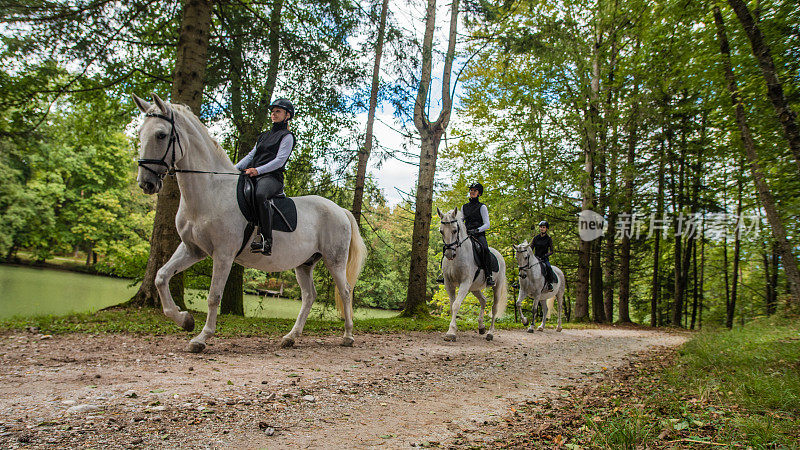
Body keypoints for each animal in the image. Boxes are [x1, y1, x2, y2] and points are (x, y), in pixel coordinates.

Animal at [134, 94, 366, 352]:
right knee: (309, 296)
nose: (146, 183)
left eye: (161, 135)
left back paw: (348, 336)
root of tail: (340, 210)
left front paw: (201, 338)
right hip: (304, 263)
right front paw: (184, 320)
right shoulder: (192, 249)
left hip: (334, 260)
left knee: (345, 291)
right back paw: (291, 337)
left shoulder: (223, 254)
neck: (210, 191)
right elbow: (161, 277)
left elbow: (214, 296)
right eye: (140, 133)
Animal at [438, 207, 506, 342]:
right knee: (483, 301)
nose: (449, 254)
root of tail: (499, 255)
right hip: (474, 288)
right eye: (441, 231)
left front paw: (451, 332)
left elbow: (456, 305)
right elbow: (452, 305)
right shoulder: (448, 283)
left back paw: (490, 333)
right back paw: (481, 326)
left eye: (454, 230)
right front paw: (452, 330)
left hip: (497, 286)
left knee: (494, 308)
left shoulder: (465, 282)